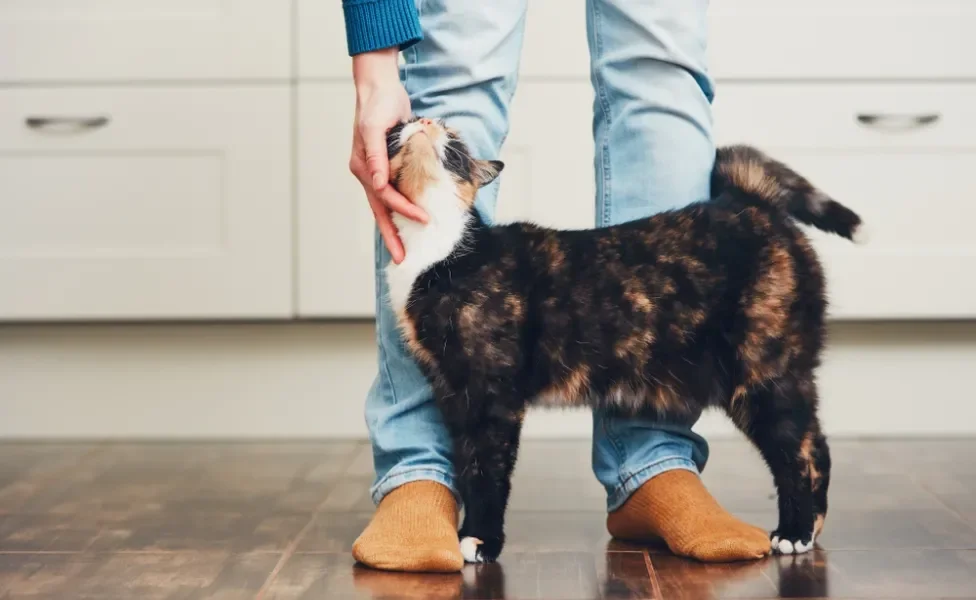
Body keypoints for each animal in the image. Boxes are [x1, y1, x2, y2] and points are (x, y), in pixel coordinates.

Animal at [382, 116, 860, 564]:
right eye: (401, 126)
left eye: (454, 141)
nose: (424, 121)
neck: (438, 250)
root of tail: (748, 201)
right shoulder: (452, 391)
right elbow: (467, 465)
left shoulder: (491, 395)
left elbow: (488, 470)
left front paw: (481, 540)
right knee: (814, 445)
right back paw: (809, 528)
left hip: (763, 374)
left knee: (800, 453)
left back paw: (795, 532)